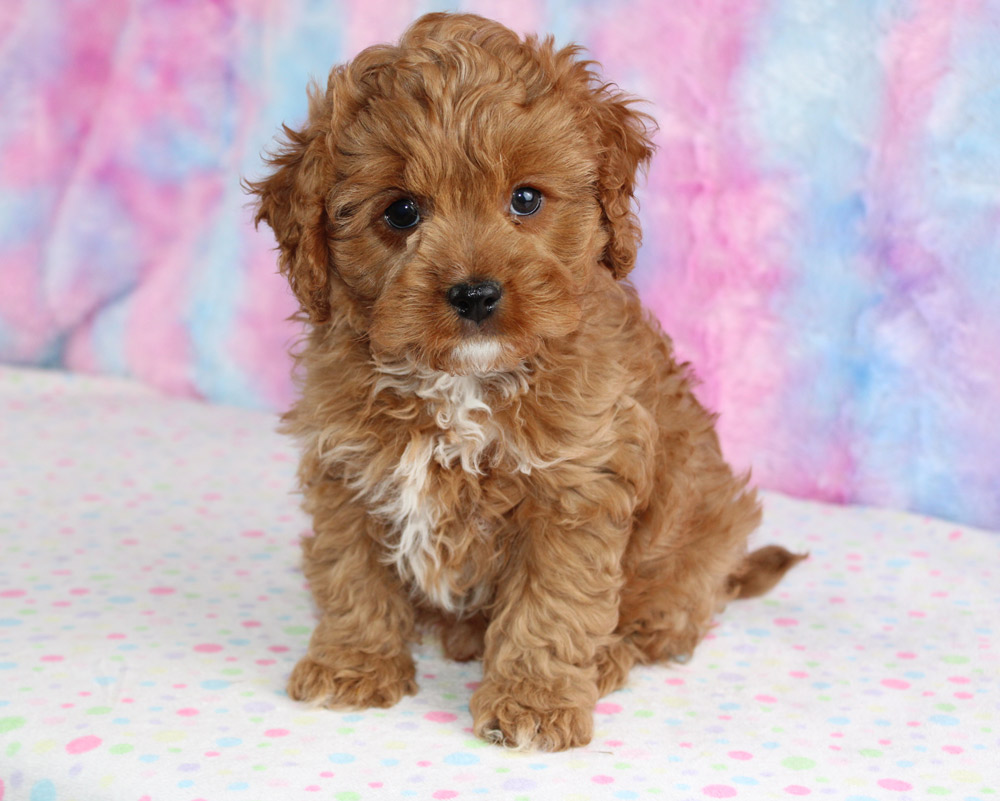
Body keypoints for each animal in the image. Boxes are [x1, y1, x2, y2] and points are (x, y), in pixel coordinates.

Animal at [252, 12, 804, 752]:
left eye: (526, 199)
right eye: (400, 212)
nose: (476, 294)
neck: (463, 382)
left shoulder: (576, 488)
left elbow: (554, 604)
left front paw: (535, 701)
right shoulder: (349, 470)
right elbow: (351, 571)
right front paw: (354, 662)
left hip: (697, 542)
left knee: (663, 621)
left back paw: (605, 657)